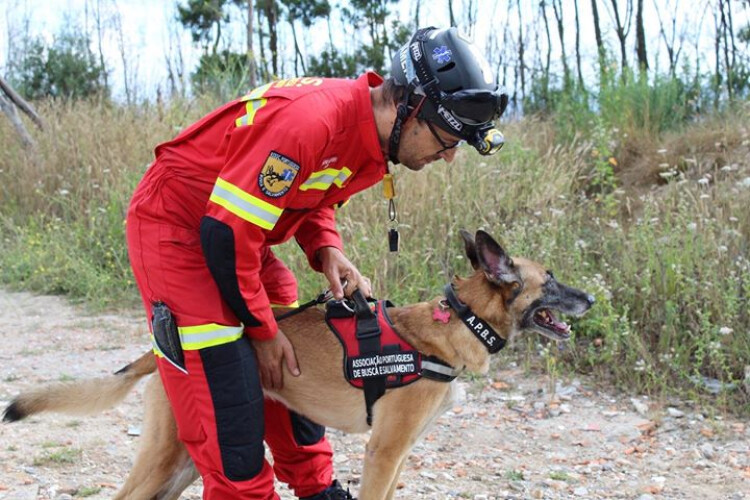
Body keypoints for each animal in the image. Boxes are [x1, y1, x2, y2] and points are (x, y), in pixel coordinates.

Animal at [4, 229, 592, 498]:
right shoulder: (383, 452)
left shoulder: (398, 455)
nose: (590, 299)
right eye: (551, 280)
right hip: (169, 455)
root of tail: (161, 349)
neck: (457, 322)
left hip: (184, 463)